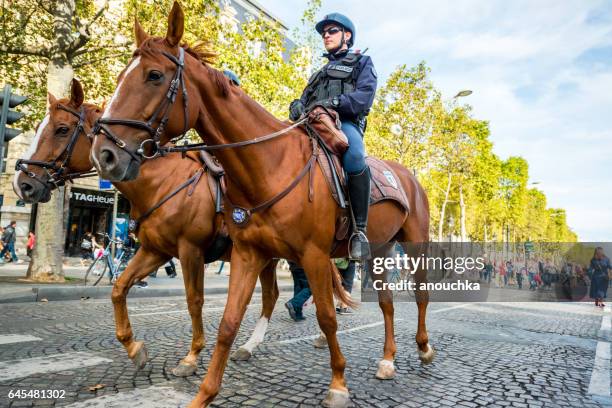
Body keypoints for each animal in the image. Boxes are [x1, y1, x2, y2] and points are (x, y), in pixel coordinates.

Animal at [13, 79, 280, 376]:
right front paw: (134, 348)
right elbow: (119, 288)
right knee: (271, 296)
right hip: (265, 258)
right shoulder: (155, 250)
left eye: (62, 129)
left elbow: (194, 300)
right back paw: (248, 346)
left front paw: (192, 355)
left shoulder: (191, 250)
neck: (161, 181)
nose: (23, 183)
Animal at [91, 2, 432, 404]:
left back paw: (423, 348)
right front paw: (203, 393)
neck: (270, 164)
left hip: (415, 244)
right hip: (379, 250)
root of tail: (409, 174)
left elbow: (327, 318)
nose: (105, 153)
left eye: (155, 75)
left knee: (421, 295)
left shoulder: (313, 256)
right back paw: (388, 360)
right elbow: (227, 323)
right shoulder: (248, 253)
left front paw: (338, 384)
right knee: (387, 303)